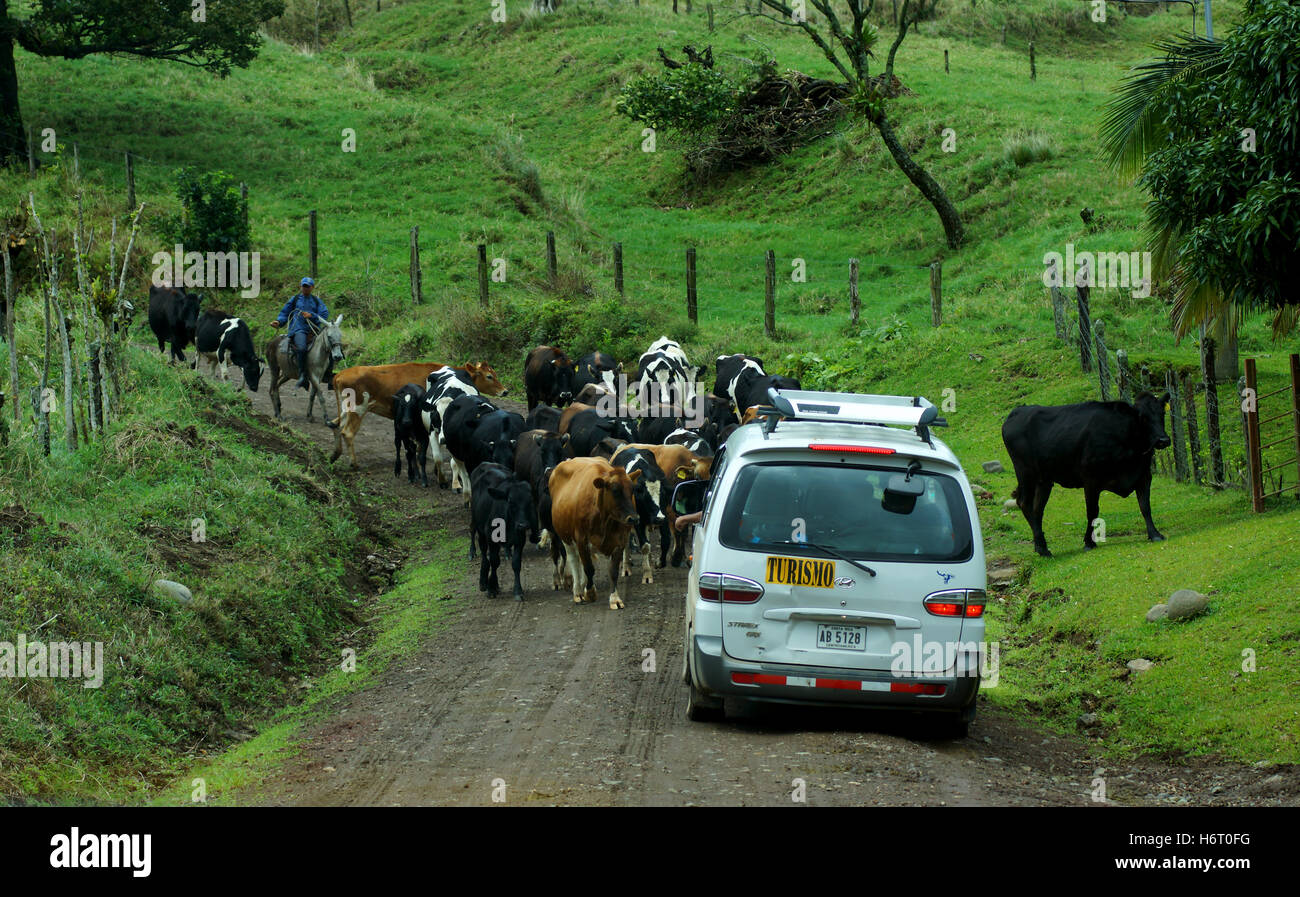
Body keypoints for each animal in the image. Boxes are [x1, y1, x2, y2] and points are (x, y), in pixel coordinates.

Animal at [327, 358, 504, 467]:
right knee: (347, 432)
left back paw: (335, 454)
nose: (505, 391)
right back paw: (354, 463)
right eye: (489, 376)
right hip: (357, 408)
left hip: (345, 409)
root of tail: (339, 375)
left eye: (495, 373)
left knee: (334, 425)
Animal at [470, 460, 535, 600]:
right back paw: (483, 581)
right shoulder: (491, 537)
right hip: (480, 529)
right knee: (484, 554)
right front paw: (491, 588)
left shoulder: (520, 539)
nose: (523, 525)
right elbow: (494, 561)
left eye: (530, 501)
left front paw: (518, 590)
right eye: (510, 501)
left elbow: (516, 563)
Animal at [546, 454, 642, 608]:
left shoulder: (620, 541)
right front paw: (590, 593)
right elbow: (589, 568)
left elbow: (613, 571)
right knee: (574, 560)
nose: (633, 518)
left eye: (632, 490)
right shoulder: (581, 538)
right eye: (615, 491)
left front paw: (615, 598)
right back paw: (578, 591)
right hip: (565, 536)